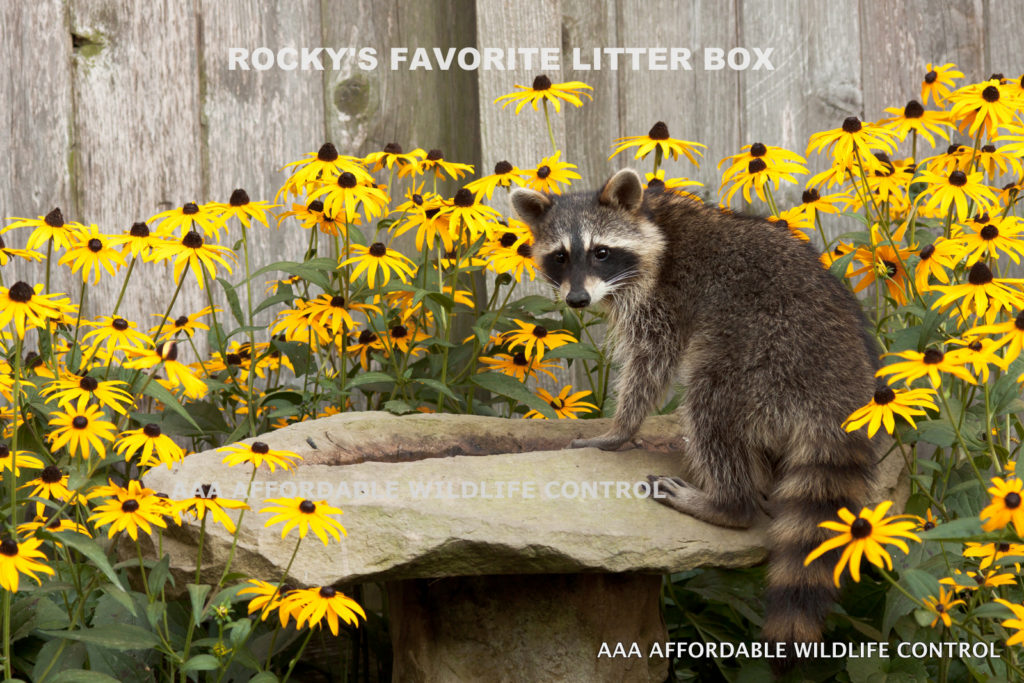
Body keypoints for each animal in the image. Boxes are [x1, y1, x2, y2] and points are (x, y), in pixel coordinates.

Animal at [511, 169, 879, 667]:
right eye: (560, 256)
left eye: (601, 252)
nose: (578, 299)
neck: (650, 220)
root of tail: (842, 392)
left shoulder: (665, 296)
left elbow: (651, 364)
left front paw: (619, 429)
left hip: (766, 351)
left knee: (710, 403)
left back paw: (727, 501)